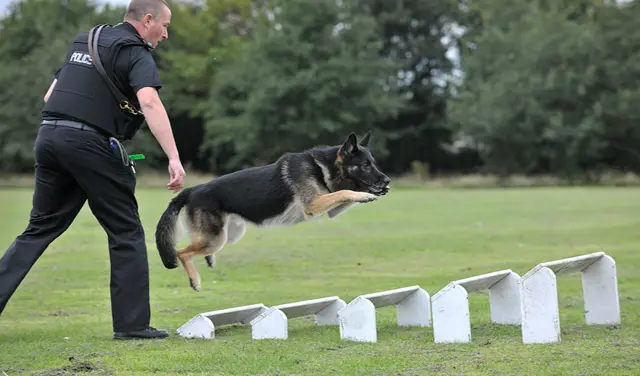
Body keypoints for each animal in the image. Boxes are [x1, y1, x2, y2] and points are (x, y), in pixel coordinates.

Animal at [155, 131, 390, 292]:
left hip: (227, 235)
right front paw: (365, 195)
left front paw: (366, 195)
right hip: (216, 238)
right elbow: (345, 191)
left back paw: (208, 260)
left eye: (373, 163)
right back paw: (194, 280)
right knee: (182, 252)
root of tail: (193, 189)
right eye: (365, 165)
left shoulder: (328, 207)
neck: (323, 168)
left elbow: (344, 193)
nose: (387, 181)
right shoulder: (313, 205)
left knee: (197, 248)